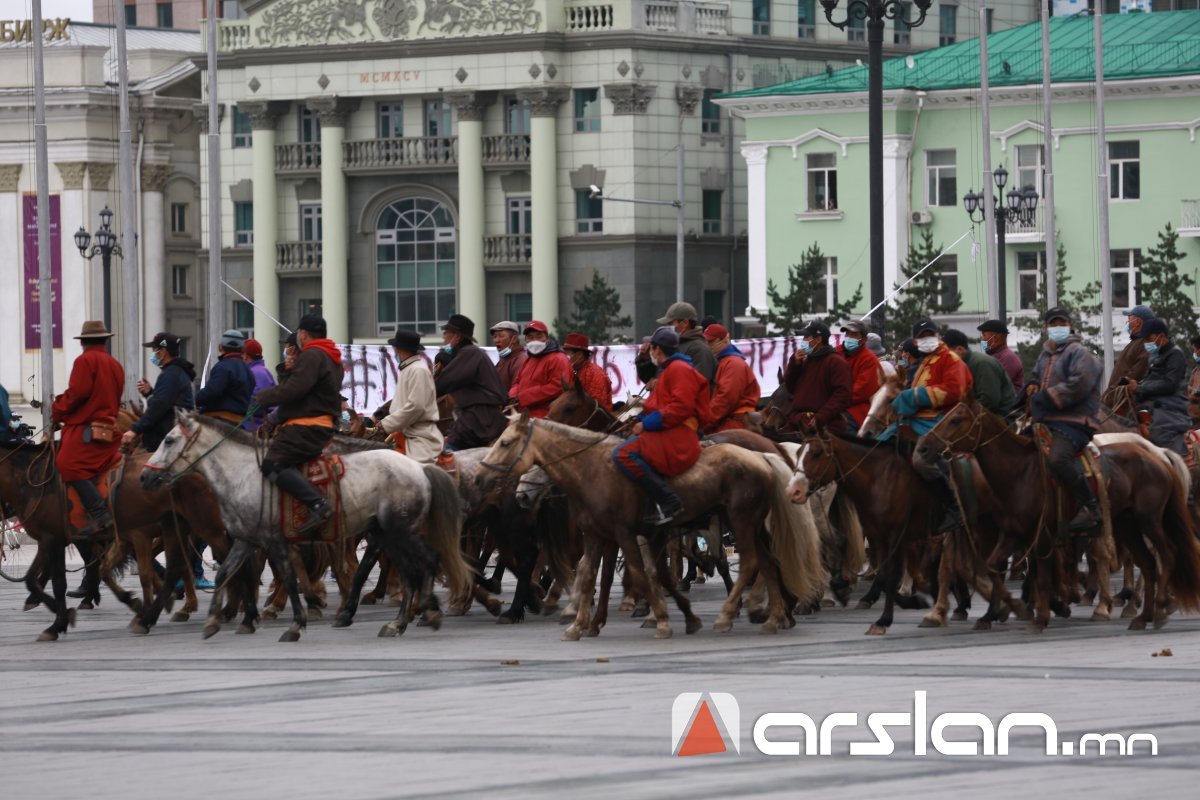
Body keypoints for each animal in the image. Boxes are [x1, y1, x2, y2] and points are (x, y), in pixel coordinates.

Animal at [142, 417, 470, 642]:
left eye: (169, 440)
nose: (145, 476)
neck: (243, 474)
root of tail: (419, 467)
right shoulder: (247, 539)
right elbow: (226, 573)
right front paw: (213, 622)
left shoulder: (274, 541)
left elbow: (288, 578)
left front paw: (295, 623)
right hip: (387, 535)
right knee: (410, 570)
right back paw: (404, 619)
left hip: (400, 532)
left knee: (425, 563)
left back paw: (419, 614)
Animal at [472, 417, 820, 642]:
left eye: (505, 442)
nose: (478, 478)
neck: (593, 470)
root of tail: (762, 454)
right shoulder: (600, 536)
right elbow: (593, 576)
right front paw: (582, 624)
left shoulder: (628, 534)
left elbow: (643, 573)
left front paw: (662, 619)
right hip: (750, 525)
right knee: (768, 563)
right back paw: (776, 617)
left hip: (741, 522)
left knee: (748, 563)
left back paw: (729, 614)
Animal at [912, 407, 1200, 633]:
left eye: (955, 420)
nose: (923, 449)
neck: (1018, 472)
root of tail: (1158, 454)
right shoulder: (1009, 532)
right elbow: (987, 566)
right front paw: (1009, 608)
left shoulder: (1038, 533)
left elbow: (1040, 572)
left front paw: (1040, 612)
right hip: (1126, 524)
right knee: (1148, 563)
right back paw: (1142, 615)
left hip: (1148, 519)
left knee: (1166, 554)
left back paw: (1155, 607)